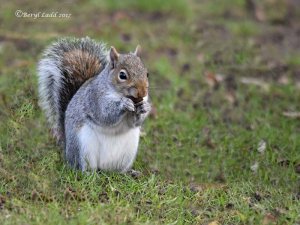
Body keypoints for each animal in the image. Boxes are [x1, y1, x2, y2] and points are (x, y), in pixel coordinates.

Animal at [37, 37, 150, 171]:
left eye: (147, 73)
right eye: (122, 75)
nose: (143, 92)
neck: (120, 94)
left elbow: (134, 123)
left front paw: (145, 107)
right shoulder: (95, 98)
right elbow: (105, 115)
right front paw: (124, 104)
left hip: (128, 151)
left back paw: (127, 172)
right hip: (83, 146)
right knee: (83, 167)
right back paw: (89, 173)